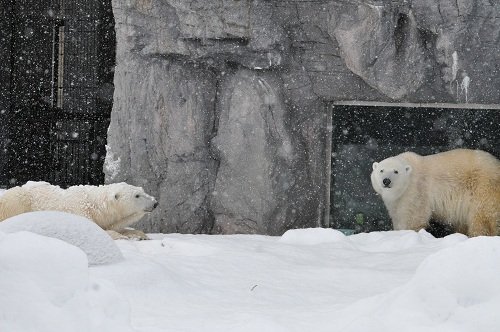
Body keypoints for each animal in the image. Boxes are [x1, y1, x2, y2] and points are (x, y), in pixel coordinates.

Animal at [0, 182, 158, 239]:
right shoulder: (78, 211)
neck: (95, 206)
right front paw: (122, 237)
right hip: (18, 200)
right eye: (137, 195)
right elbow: (95, 230)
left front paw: (140, 235)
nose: (155, 203)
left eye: (142, 190)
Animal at [372, 149, 500, 237]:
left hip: (483, 187)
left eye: (396, 171)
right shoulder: (397, 200)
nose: (386, 181)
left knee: (483, 217)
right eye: (381, 170)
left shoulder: (416, 191)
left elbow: (412, 217)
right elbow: (397, 214)